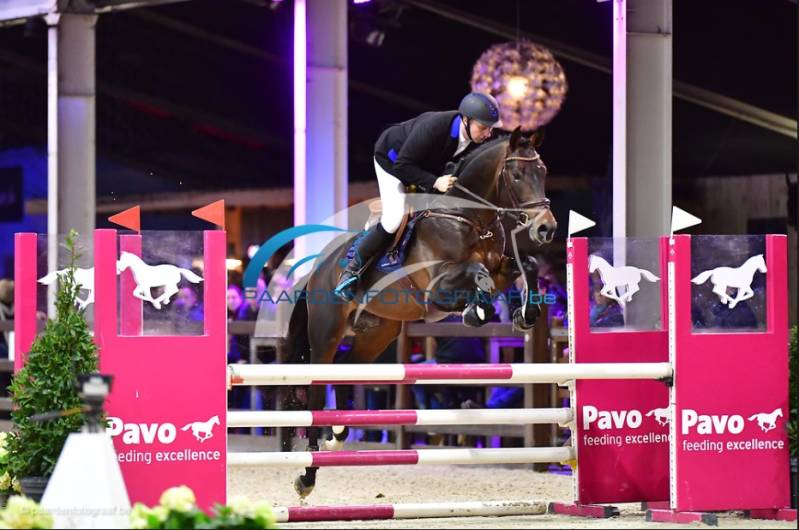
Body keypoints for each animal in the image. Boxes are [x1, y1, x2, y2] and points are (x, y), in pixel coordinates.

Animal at [285, 127, 556, 498]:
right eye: (516, 175)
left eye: (542, 172)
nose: (547, 228)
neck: (469, 218)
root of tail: (317, 271)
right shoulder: (438, 288)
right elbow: (476, 274)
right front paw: (477, 312)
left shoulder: (501, 266)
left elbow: (523, 263)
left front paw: (523, 313)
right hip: (326, 333)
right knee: (317, 385)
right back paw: (308, 474)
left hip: (378, 333)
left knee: (345, 368)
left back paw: (338, 436)